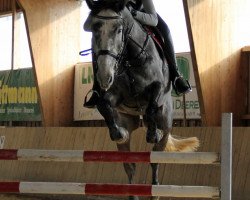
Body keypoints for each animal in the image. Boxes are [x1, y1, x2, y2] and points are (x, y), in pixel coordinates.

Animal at [84, 0, 199, 199]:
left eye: (119, 29)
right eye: (94, 29)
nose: (105, 76)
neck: (130, 60)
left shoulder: (157, 88)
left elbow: (152, 103)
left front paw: (153, 133)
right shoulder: (115, 95)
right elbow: (104, 104)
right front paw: (118, 133)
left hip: (166, 124)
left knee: (155, 159)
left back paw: (155, 190)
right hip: (128, 121)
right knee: (129, 164)